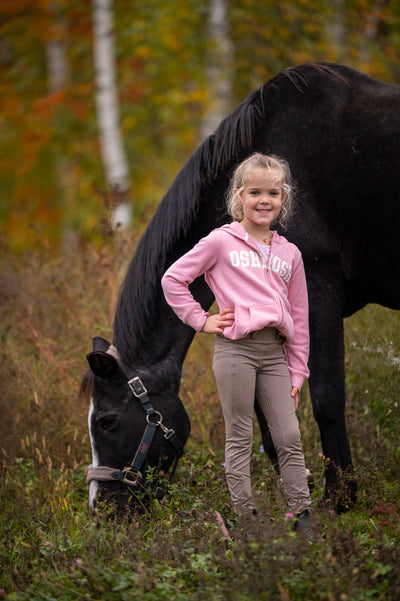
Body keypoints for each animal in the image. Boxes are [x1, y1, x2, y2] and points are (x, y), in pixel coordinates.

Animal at [82, 63, 400, 512]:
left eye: (107, 420)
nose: (101, 510)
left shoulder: (316, 292)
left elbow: (326, 399)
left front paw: (340, 499)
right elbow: (268, 419)